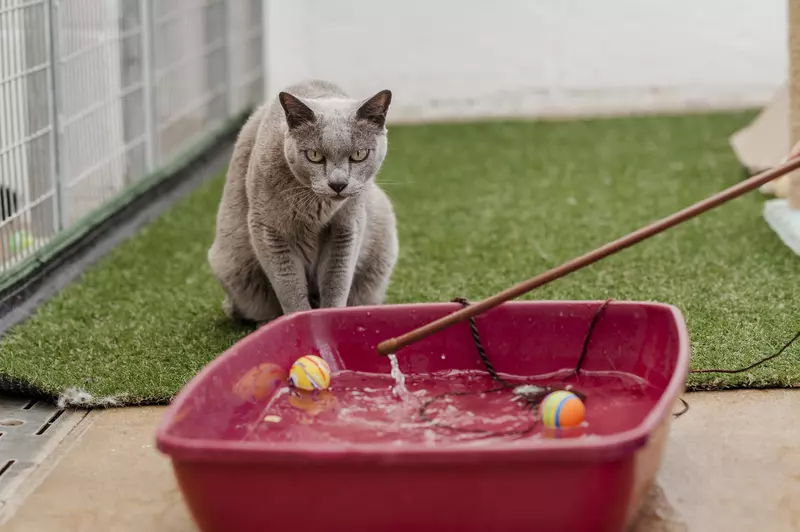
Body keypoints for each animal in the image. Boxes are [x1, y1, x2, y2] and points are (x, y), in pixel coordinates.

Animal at [208, 78, 398, 320]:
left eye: (359, 155)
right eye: (315, 156)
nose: (338, 184)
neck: (318, 209)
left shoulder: (347, 228)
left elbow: (336, 280)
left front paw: (332, 317)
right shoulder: (267, 229)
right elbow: (289, 287)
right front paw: (297, 321)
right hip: (234, 267)